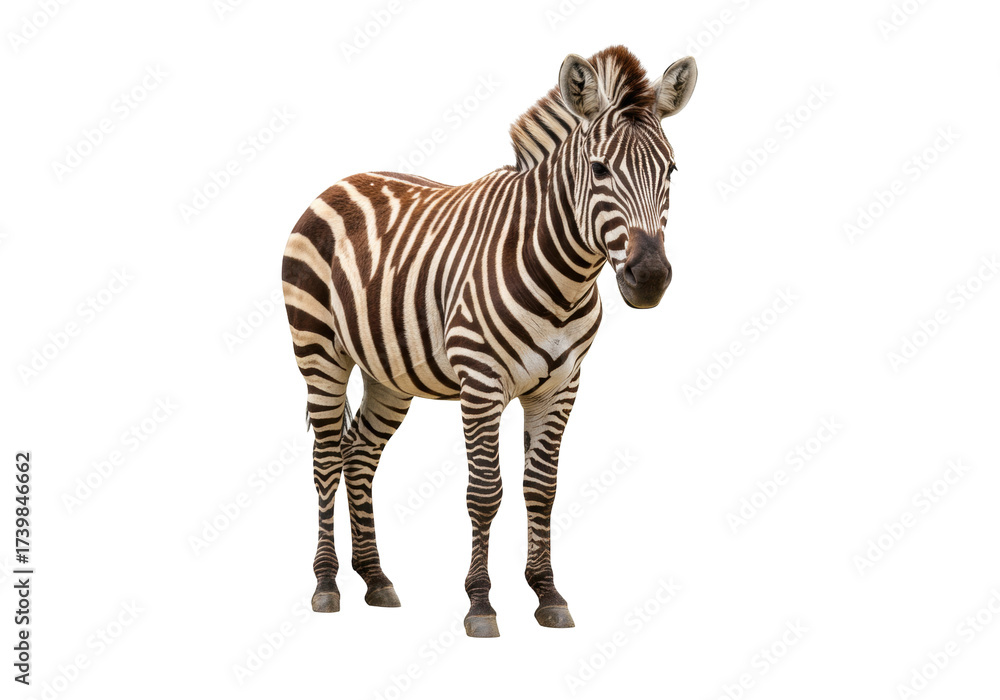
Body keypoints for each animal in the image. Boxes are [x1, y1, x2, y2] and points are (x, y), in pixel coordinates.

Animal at [281, 45, 697, 637]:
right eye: (599, 169)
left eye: (671, 170)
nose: (651, 278)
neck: (563, 275)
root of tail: (342, 181)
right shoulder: (481, 382)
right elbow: (484, 492)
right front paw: (480, 603)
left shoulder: (561, 386)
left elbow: (540, 489)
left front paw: (547, 593)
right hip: (319, 352)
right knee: (324, 460)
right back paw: (326, 584)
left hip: (389, 375)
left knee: (357, 454)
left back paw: (376, 579)